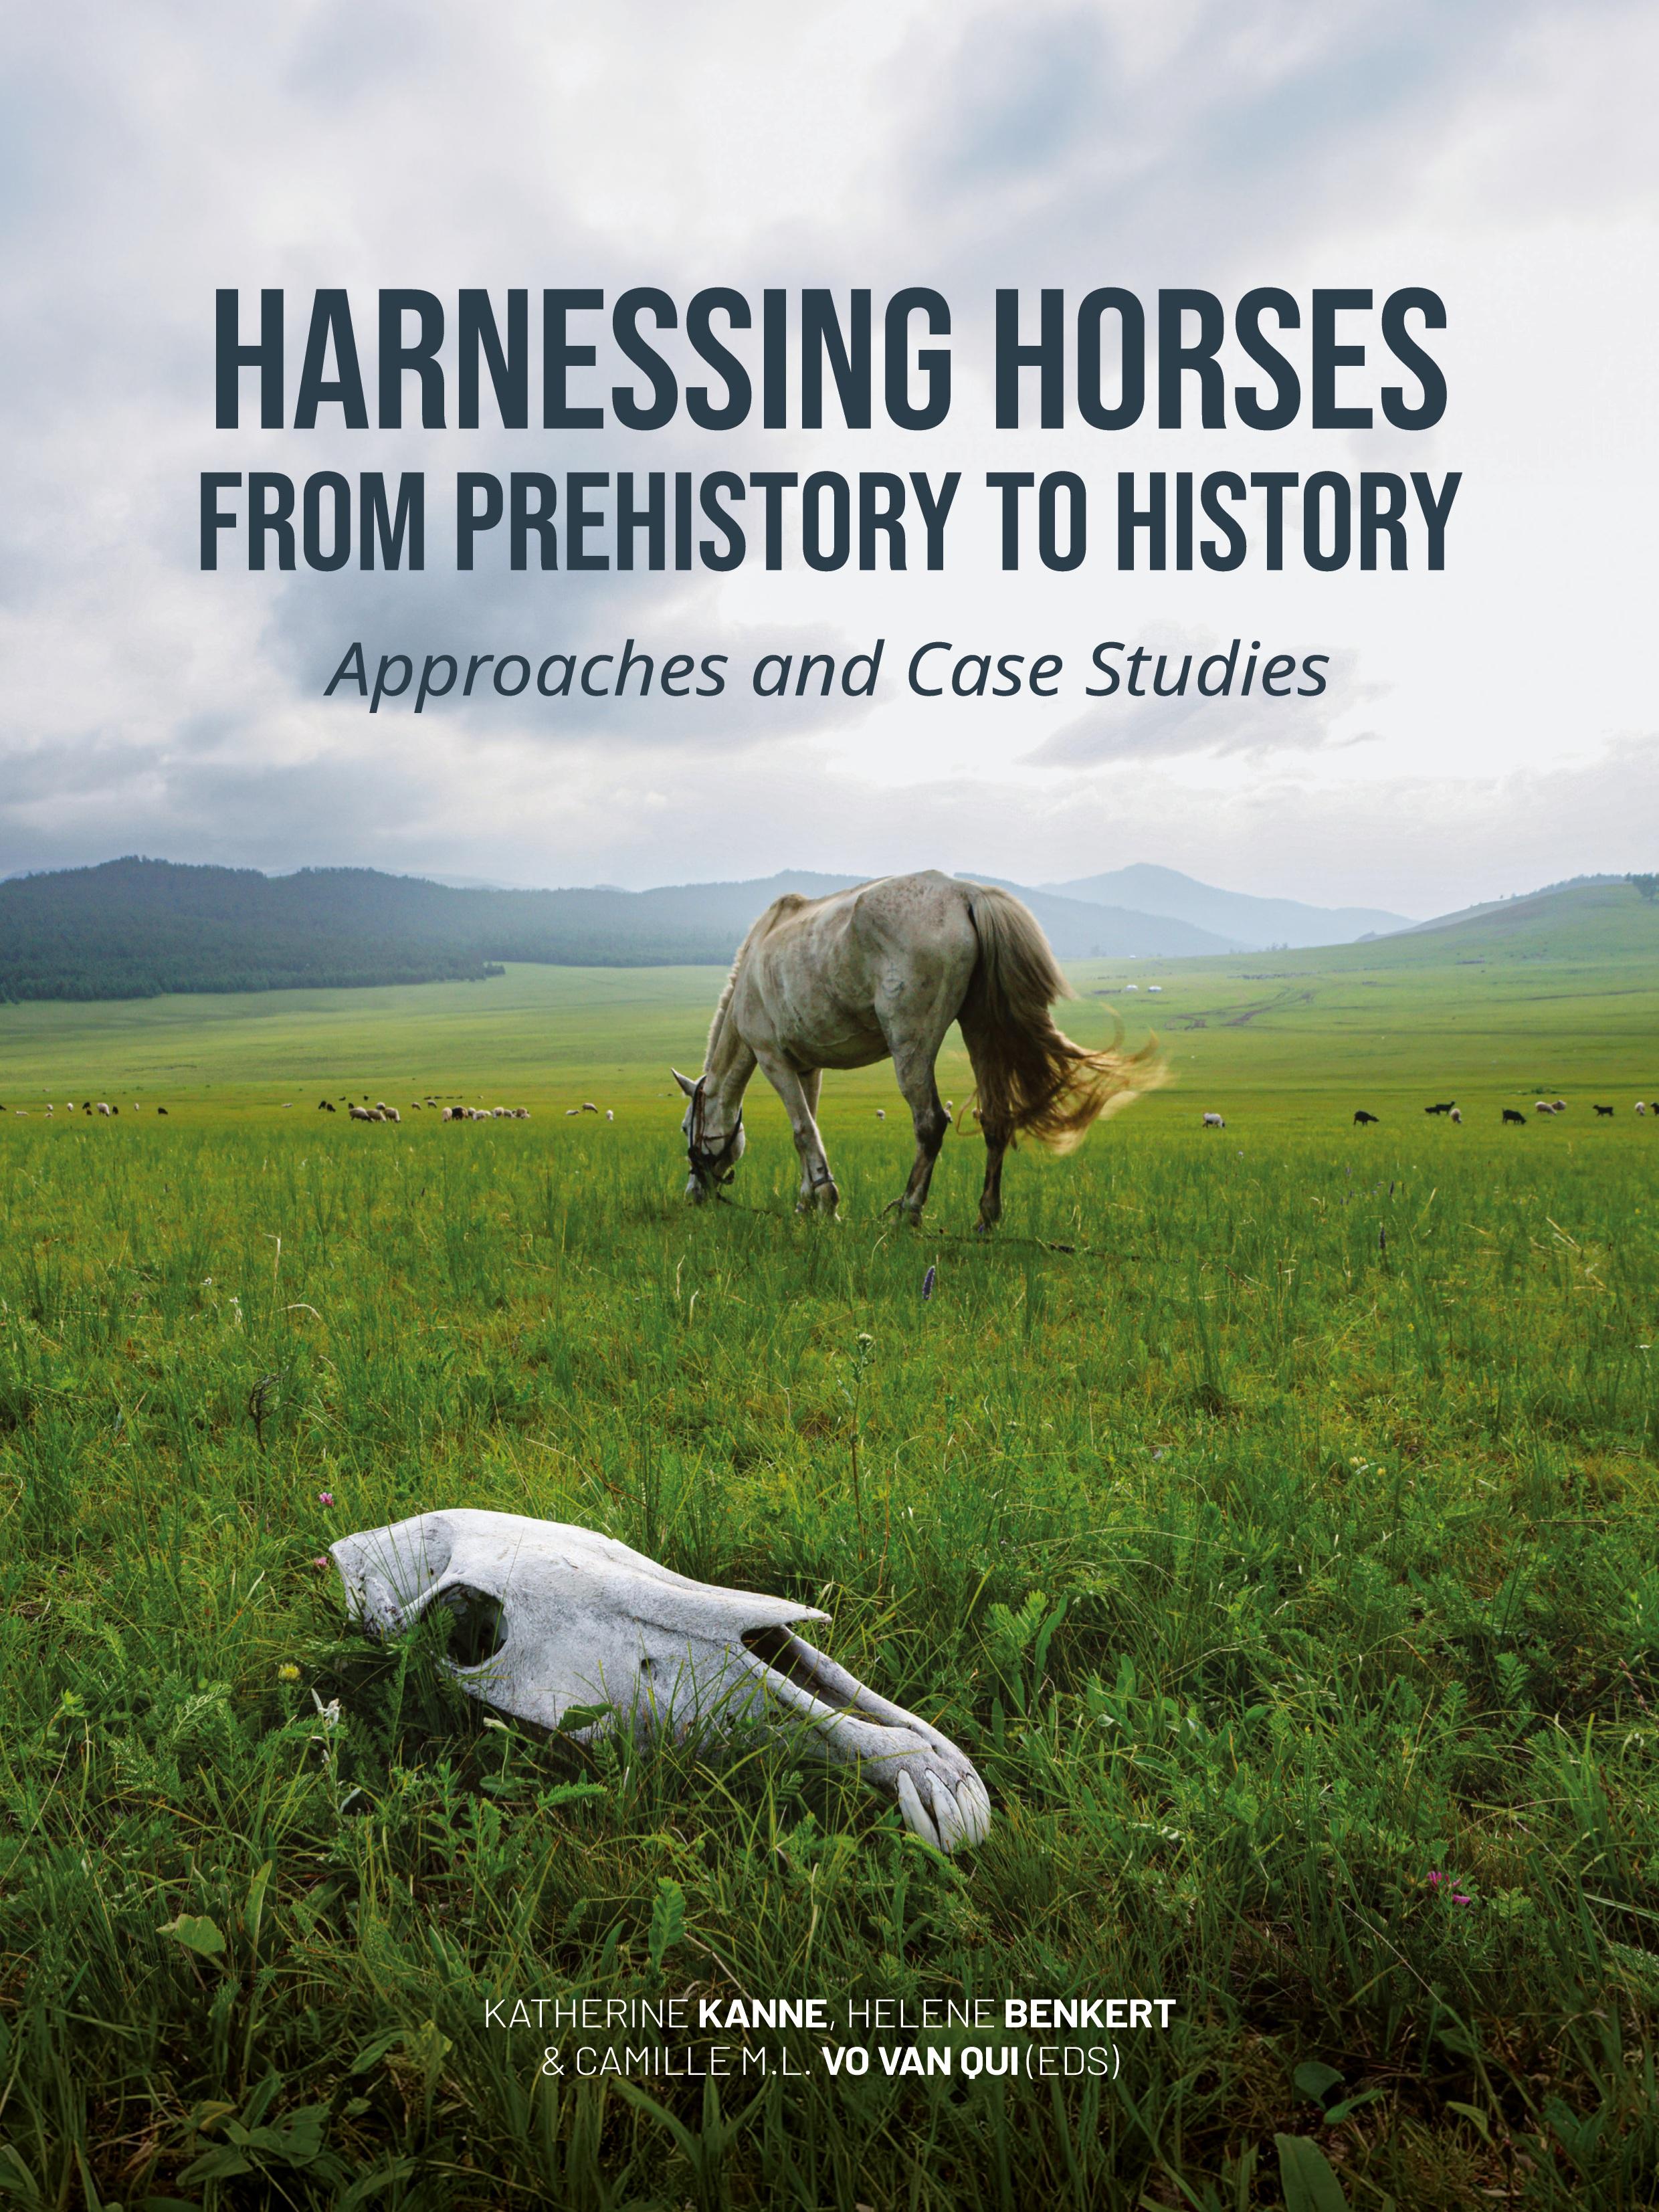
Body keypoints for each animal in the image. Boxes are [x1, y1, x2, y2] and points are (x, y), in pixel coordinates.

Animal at [672, 871, 1162, 1231]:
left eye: (686, 1128)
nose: (694, 1194)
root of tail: (965, 894)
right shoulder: (807, 1068)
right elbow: (810, 1128)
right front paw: (807, 1201)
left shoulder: (773, 1059)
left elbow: (802, 1131)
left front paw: (827, 1203)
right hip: (981, 1030)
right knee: (995, 1119)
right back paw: (986, 1218)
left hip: (911, 1044)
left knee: (930, 1123)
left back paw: (908, 1211)